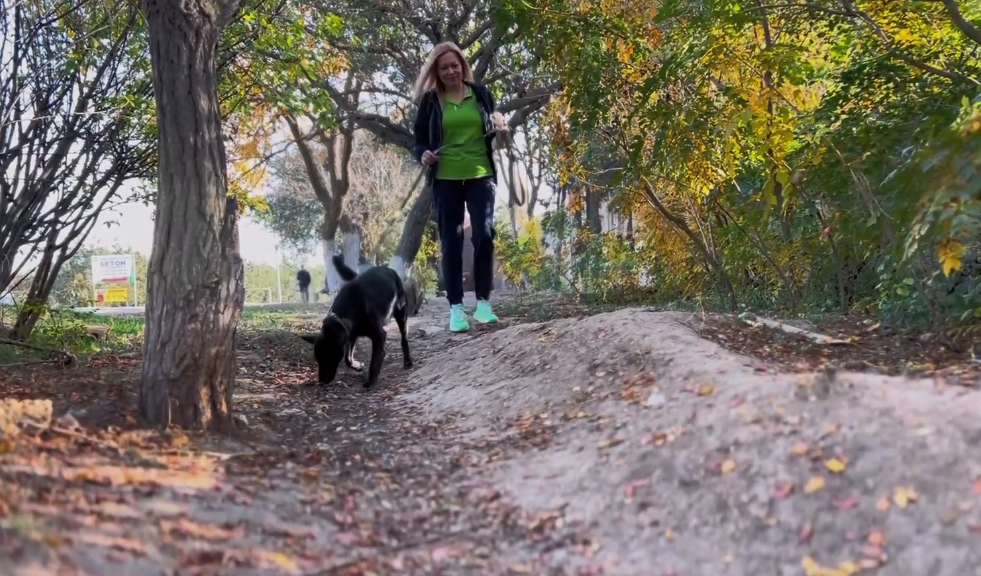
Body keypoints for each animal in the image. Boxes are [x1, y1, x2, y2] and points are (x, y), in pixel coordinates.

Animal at [298, 255, 414, 388]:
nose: (321, 381)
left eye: (328, 356)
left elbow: (374, 359)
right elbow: (347, 359)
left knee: (404, 339)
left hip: (401, 314)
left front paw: (371, 381)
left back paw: (408, 361)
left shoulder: (378, 335)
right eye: (317, 358)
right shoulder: (351, 335)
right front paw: (357, 366)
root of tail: (389, 270)